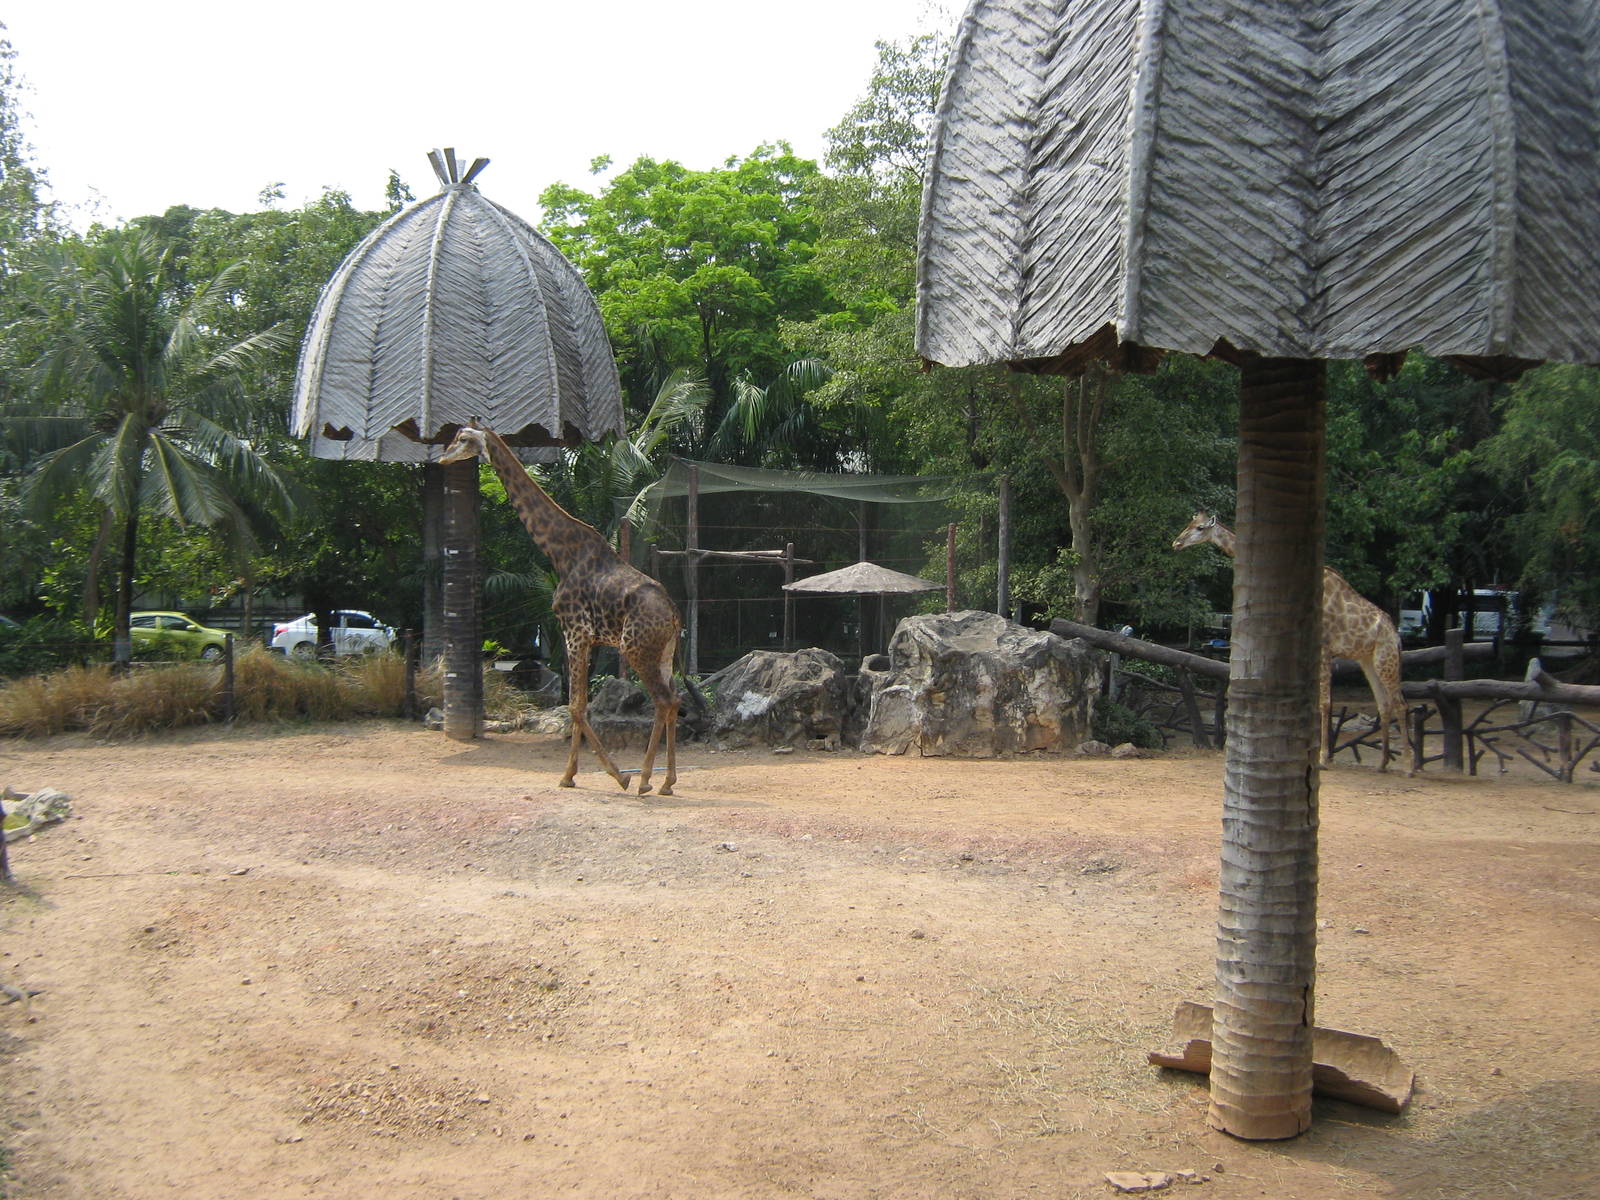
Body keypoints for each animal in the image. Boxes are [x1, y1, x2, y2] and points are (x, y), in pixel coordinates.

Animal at [439, 425, 683, 796]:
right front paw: (578, 775)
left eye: (463, 439)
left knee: (663, 700)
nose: (442, 457)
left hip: (635, 649)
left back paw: (643, 779)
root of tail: (671, 613)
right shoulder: (585, 638)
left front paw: (602, 776)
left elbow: (576, 706)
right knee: (675, 700)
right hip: (664, 652)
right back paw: (666, 781)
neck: (559, 552)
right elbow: (579, 706)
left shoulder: (575, 632)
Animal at [1172, 511, 1411, 771]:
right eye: (1190, 523)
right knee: (1384, 704)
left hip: (1386, 659)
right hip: (1367, 660)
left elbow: (1325, 702)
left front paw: (1323, 758)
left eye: (1200, 528)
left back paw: (1409, 767)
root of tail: (1396, 635)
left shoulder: (1324, 647)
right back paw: (1383, 763)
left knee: (1400, 703)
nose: (1176, 543)